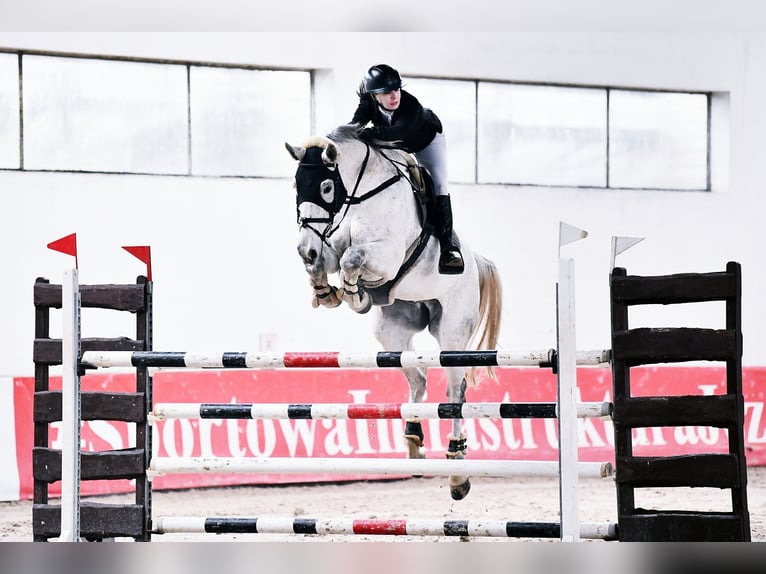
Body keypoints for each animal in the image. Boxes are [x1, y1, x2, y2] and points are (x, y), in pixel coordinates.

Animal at [285, 124, 502, 500]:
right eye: (298, 185)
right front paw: (326, 291)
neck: (362, 195)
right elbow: (331, 260)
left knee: (454, 391)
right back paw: (413, 441)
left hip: (452, 332)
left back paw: (457, 469)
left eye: (326, 187)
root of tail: (475, 262)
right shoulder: (331, 243)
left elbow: (352, 258)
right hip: (393, 330)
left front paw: (354, 294)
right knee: (418, 379)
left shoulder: (385, 256)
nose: (305, 249)